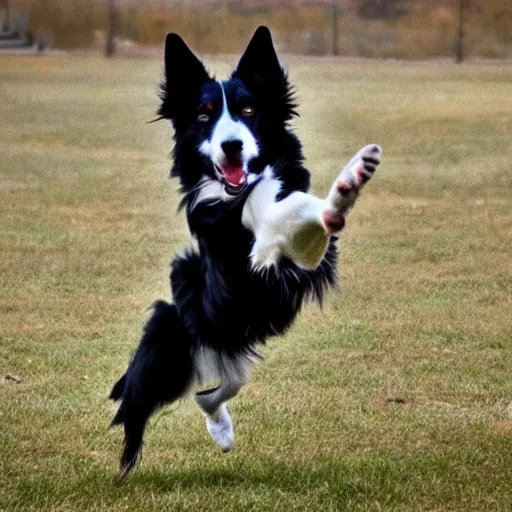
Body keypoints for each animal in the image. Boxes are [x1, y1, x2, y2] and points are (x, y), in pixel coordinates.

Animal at [109, 25, 380, 480]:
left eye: (248, 109)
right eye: (203, 116)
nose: (232, 145)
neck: (239, 192)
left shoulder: (306, 258)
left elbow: (298, 210)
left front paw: (351, 179)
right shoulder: (247, 260)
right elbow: (282, 218)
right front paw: (343, 187)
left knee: (214, 391)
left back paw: (221, 430)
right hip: (171, 341)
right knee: (141, 402)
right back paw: (130, 464)